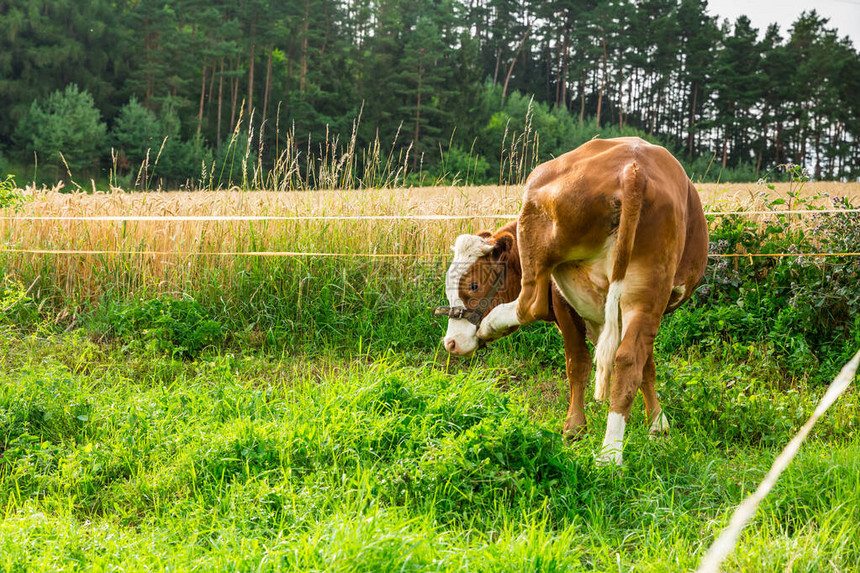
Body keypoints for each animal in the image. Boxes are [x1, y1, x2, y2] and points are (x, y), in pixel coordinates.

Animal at [436, 137, 704, 464]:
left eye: (473, 284)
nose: (450, 343)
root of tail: (633, 168)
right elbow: (646, 367)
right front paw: (658, 424)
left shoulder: (564, 305)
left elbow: (576, 364)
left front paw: (575, 429)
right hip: (647, 292)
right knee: (629, 360)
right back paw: (611, 453)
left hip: (539, 234)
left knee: (530, 303)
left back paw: (491, 324)